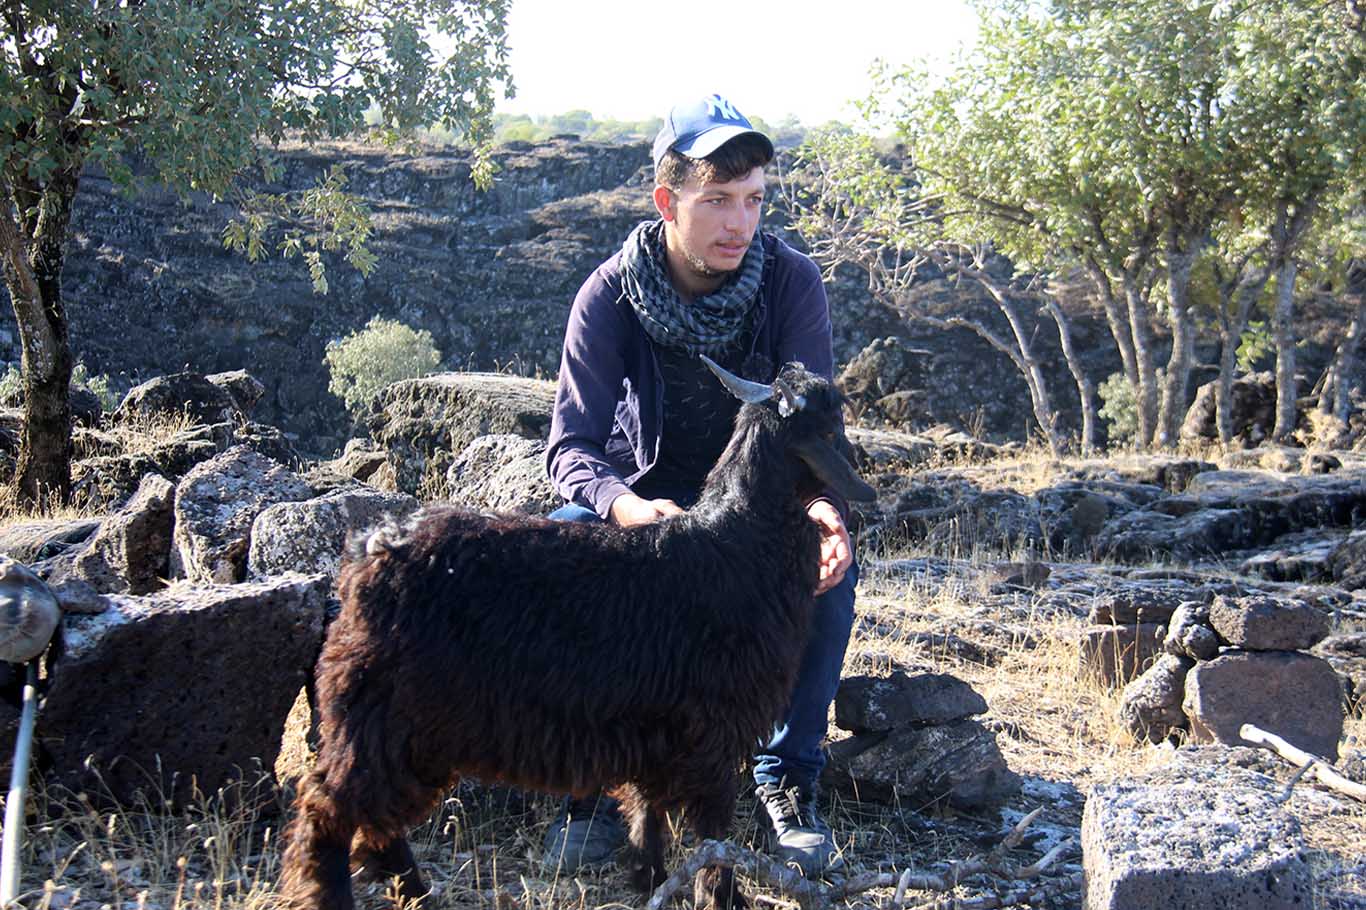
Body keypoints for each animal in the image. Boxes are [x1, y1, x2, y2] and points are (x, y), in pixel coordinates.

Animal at [277, 357, 874, 907]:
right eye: (831, 428)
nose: (858, 480)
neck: (739, 540)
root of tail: (370, 553)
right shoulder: (712, 727)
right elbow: (712, 829)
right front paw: (721, 894)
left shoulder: (654, 725)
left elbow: (649, 809)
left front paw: (649, 879)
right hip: (382, 716)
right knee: (327, 810)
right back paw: (341, 894)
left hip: (404, 728)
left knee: (375, 819)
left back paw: (416, 891)